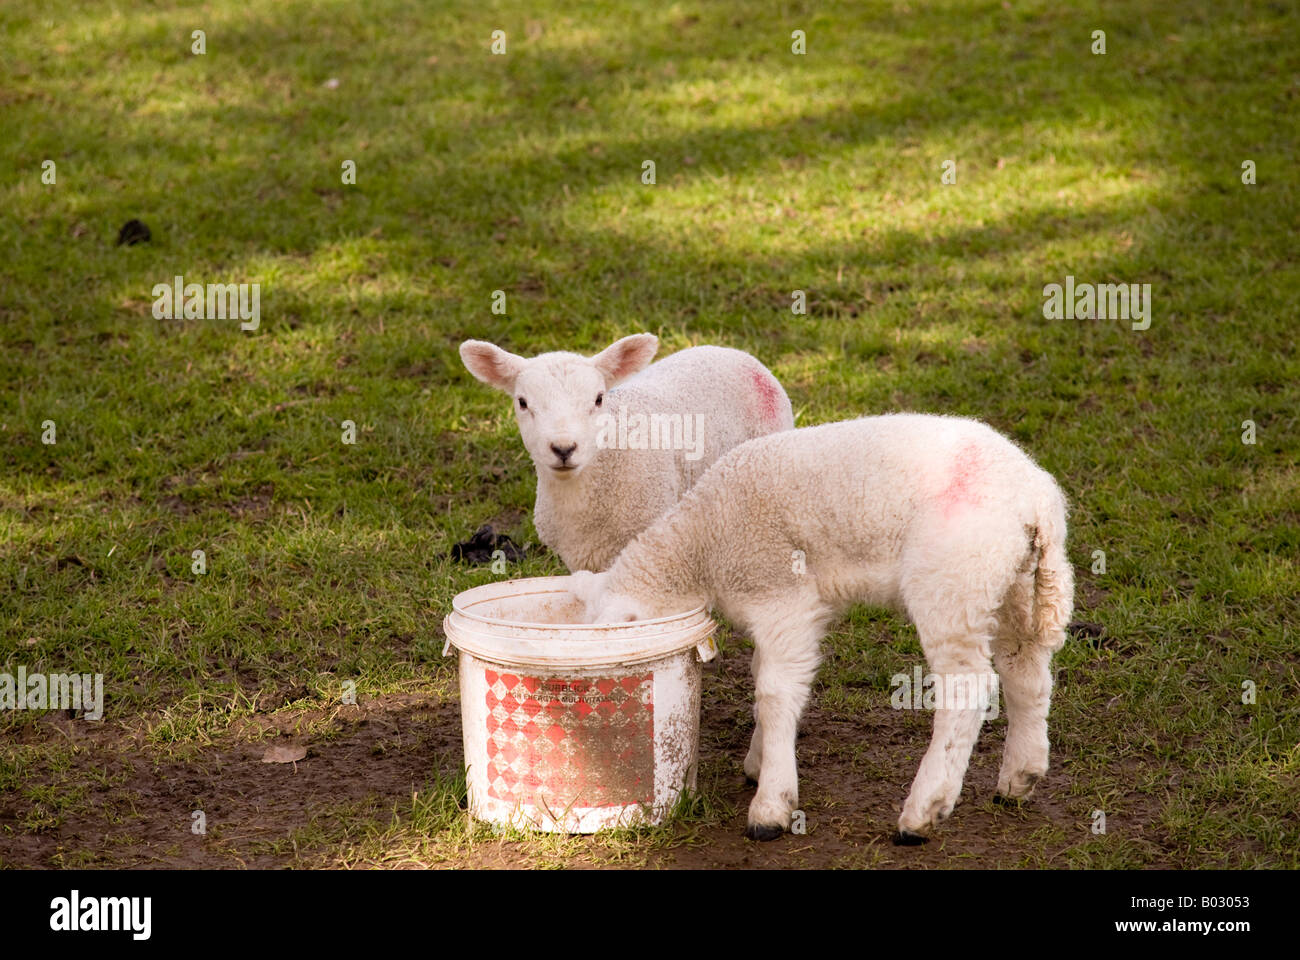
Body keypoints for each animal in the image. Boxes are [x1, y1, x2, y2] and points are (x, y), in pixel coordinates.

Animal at [567, 413, 1074, 843]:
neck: (702, 544)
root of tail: (1038, 498)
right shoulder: (791, 611)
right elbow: (767, 674)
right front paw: (760, 760)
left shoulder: (780, 594)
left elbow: (775, 693)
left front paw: (771, 804)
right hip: (1012, 585)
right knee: (1026, 672)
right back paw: (1020, 777)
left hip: (952, 579)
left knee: (966, 688)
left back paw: (923, 810)